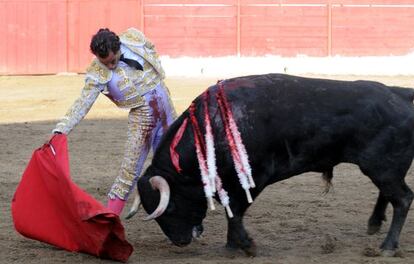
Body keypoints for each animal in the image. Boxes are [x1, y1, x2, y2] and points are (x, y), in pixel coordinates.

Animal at [137, 73, 414, 256]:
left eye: (171, 206)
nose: (180, 241)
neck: (211, 128)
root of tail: (399, 94)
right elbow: (231, 211)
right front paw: (232, 246)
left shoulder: (254, 177)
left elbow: (235, 210)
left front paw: (246, 245)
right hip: (382, 168)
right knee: (388, 193)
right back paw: (374, 224)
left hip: (382, 167)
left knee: (402, 198)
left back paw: (388, 247)